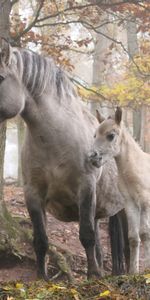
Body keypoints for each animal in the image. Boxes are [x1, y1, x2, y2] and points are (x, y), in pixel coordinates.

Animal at [0, 38, 129, 280]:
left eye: (1, 78)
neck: (55, 140)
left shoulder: (85, 187)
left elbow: (86, 235)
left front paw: (93, 276)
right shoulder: (33, 193)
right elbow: (41, 240)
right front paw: (42, 278)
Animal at [89, 106, 150, 274]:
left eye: (111, 135)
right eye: (95, 135)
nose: (92, 157)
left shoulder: (145, 203)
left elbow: (145, 233)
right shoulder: (130, 204)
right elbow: (133, 237)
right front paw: (134, 272)